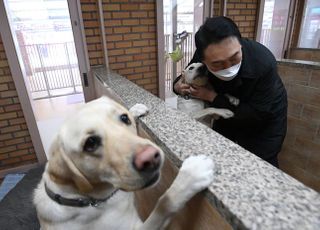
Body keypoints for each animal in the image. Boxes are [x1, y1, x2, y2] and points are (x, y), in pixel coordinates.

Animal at [33, 96, 214, 229]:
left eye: (124, 117)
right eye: (90, 143)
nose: (150, 158)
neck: (84, 200)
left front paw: (135, 109)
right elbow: (164, 203)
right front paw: (191, 174)